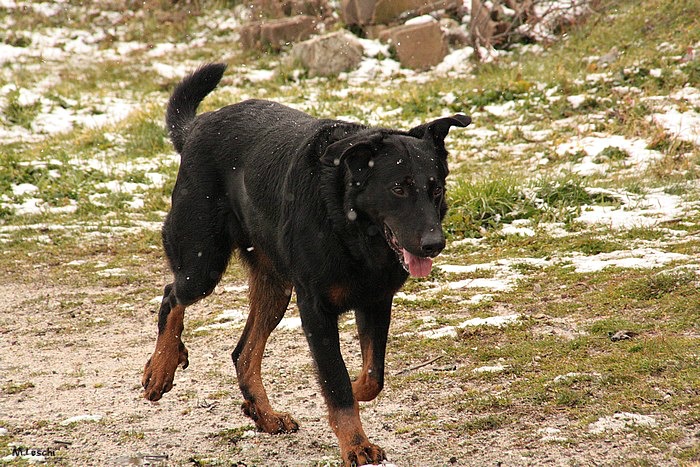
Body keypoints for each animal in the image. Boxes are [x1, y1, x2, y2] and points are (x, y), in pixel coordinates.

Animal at [142, 64, 470, 466]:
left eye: (435, 188)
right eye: (398, 188)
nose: (434, 244)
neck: (350, 226)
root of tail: (197, 127)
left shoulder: (376, 301)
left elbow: (370, 377)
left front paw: (355, 393)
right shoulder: (315, 309)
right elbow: (337, 381)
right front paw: (356, 444)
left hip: (275, 289)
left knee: (242, 353)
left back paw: (264, 415)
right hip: (203, 263)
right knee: (172, 296)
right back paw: (162, 366)